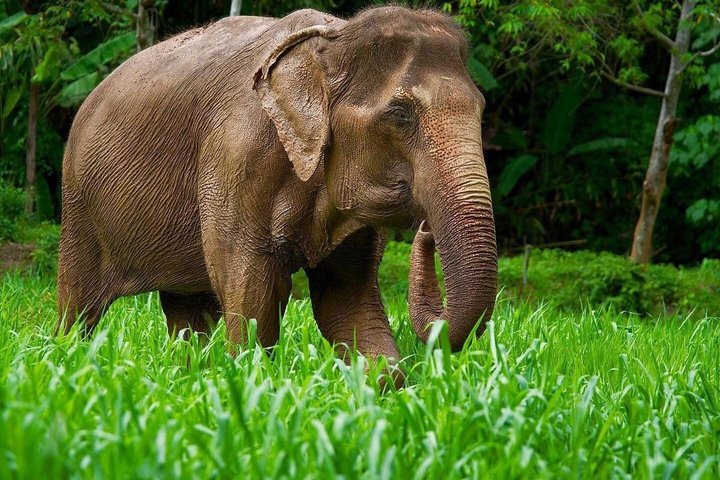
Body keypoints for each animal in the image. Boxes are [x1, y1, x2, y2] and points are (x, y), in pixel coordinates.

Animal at [56, 6, 498, 370]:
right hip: (78, 201)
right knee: (80, 304)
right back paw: (69, 358)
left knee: (186, 309)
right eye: (400, 115)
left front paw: (385, 383)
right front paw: (250, 376)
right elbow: (252, 289)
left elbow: (347, 299)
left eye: (481, 108)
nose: (426, 230)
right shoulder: (235, 156)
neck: (334, 37)